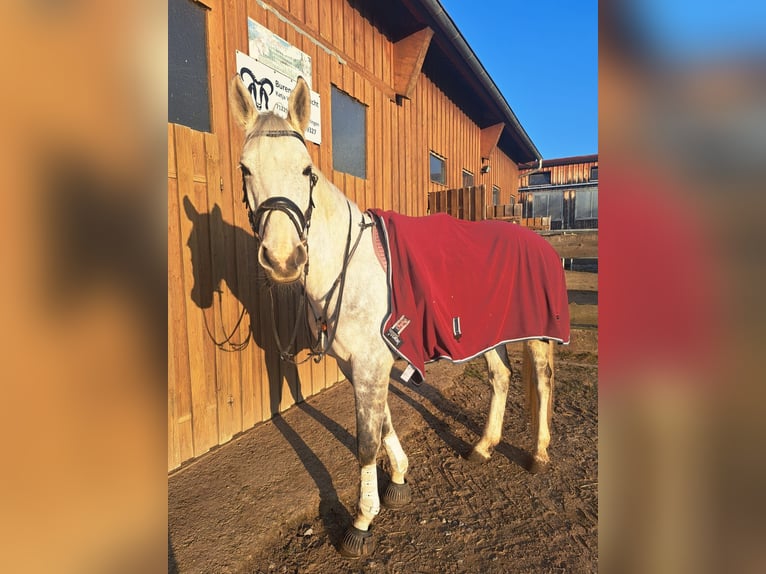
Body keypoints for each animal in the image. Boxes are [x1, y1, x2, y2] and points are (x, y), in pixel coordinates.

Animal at [228, 74, 564, 560]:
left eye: (307, 170)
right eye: (245, 169)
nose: (284, 259)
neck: (349, 265)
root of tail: (542, 244)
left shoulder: (371, 364)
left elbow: (366, 441)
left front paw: (361, 522)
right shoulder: (359, 364)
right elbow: (383, 420)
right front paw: (400, 480)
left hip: (536, 335)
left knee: (541, 381)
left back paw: (537, 455)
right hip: (488, 334)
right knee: (500, 378)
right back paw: (483, 448)